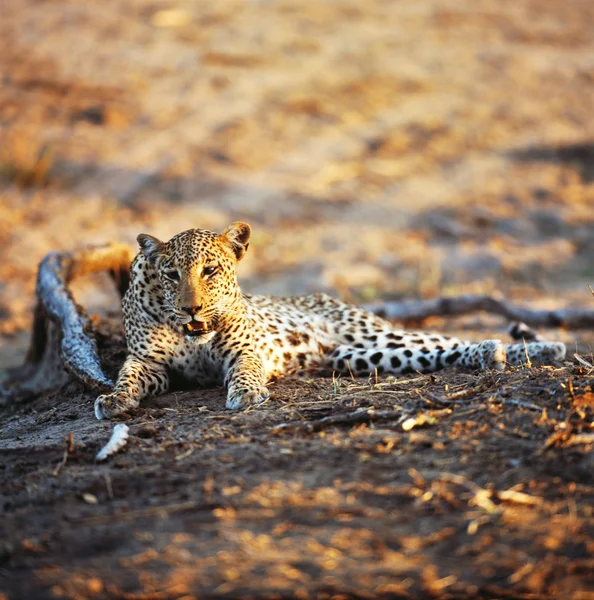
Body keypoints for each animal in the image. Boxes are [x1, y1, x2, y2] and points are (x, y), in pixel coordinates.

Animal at [95, 223, 568, 420]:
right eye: (172, 275)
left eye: (209, 271)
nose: (191, 308)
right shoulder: (149, 362)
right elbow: (128, 376)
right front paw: (114, 400)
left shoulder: (244, 350)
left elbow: (246, 370)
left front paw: (246, 394)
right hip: (363, 356)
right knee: (440, 350)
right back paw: (498, 353)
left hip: (373, 332)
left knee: (444, 337)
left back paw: (536, 347)